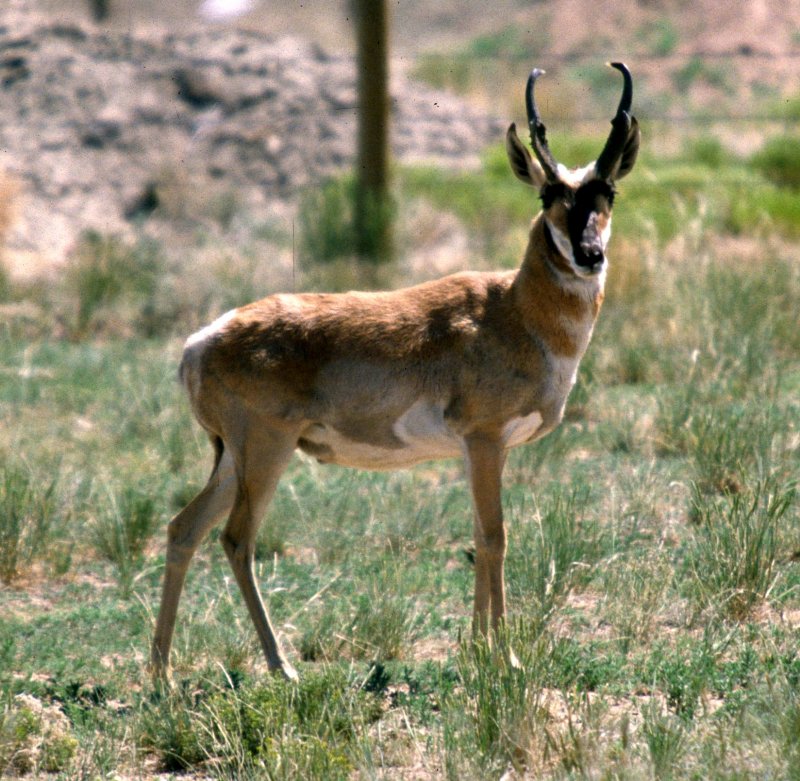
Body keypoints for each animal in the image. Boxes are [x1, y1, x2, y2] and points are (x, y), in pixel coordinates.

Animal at [148, 64, 636, 680]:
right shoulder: (485, 441)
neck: (511, 308)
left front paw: (478, 649)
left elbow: (478, 536)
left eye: (607, 191)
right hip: (265, 451)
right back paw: (282, 667)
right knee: (237, 539)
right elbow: (496, 536)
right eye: (550, 192)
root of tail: (203, 338)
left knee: (183, 528)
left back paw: (162, 674)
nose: (590, 254)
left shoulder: (479, 451)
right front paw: (506, 658)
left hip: (234, 461)